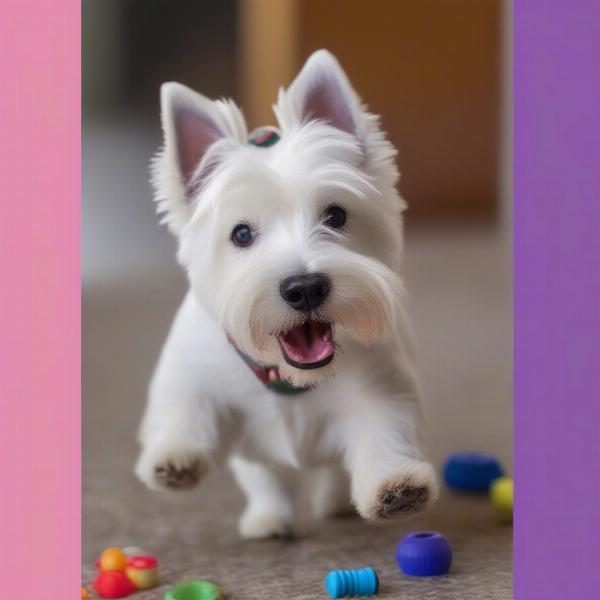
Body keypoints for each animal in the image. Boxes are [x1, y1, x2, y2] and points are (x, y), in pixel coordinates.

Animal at [135, 51, 436, 540]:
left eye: (336, 216)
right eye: (241, 233)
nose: (305, 287)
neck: (288, 380)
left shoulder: (382, 388)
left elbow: (384, 431)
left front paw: (397, 486)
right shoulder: (195, 377)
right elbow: (187, 407)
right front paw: (174, 458)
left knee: (331, 472)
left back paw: (334, 503)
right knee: (267, 478)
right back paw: (269, 519)